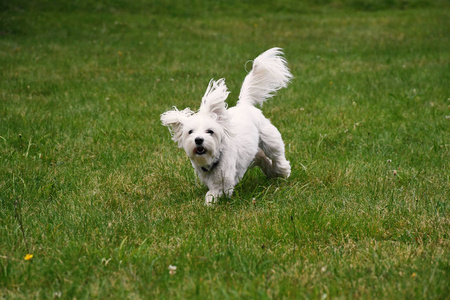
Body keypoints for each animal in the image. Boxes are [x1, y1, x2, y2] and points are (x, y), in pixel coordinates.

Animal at [161, 48, 292, 205]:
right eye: (190, 132)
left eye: (210, 131)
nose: (198, 139)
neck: (212, 162)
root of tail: (244, 104)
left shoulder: (224, 181)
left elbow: (216, 192)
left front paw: (209, 204)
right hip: (255, 152)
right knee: (262, 158)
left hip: (269, 139)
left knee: (277, 156)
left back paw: (283, 170)